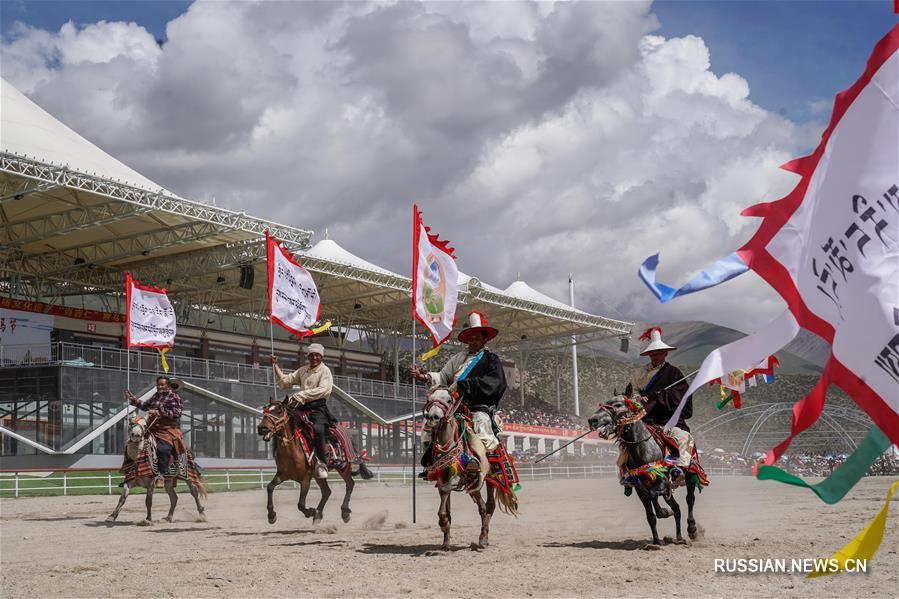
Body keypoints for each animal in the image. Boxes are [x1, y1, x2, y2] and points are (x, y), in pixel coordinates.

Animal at [588, 384, 708, 548]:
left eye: (617, 404)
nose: (592, 420)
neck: (643, 449)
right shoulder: (641, 489)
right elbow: (650, 515)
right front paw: (655, 542)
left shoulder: (662, 482)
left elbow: (655, 500)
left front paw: (664, 512)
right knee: (677, 508)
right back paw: (678, 538)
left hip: (690, 476)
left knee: (690, 500)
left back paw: (692, 530)